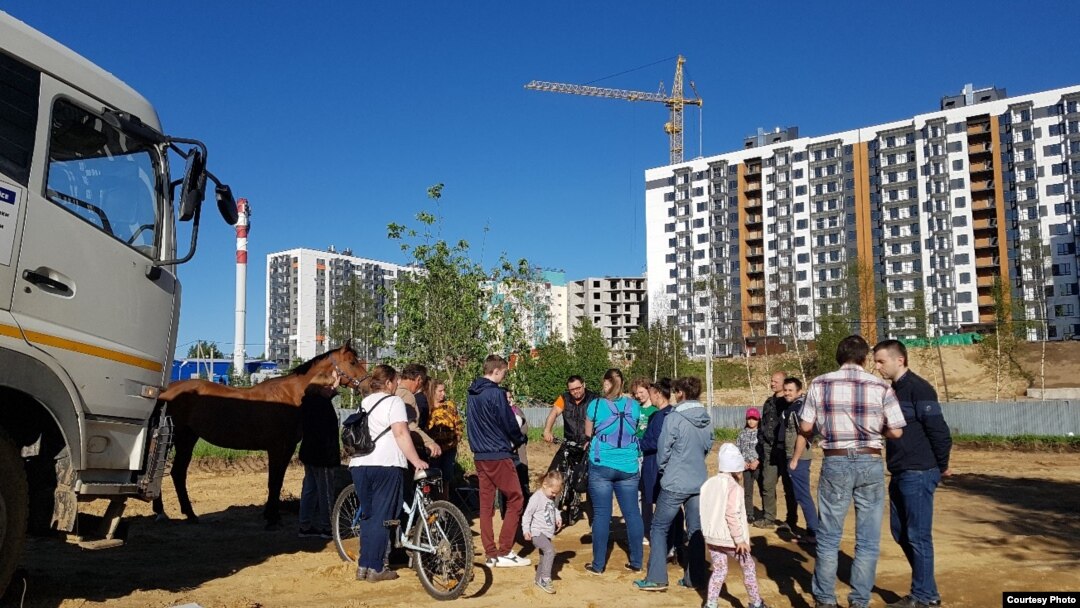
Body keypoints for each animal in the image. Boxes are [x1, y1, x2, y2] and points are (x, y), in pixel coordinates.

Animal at [150, 343, 371, 529]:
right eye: (352, 362)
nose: (367, 385)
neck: (292, 395)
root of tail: (166, 389)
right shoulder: (276, 448)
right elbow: (273, 481)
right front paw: (271, 518)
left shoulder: (287, 448)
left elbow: (278, 481)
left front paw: (272, 515)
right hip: (172, 437)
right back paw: (162, 512)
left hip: (187, 439)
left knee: (177, 473)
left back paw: (189, 514)